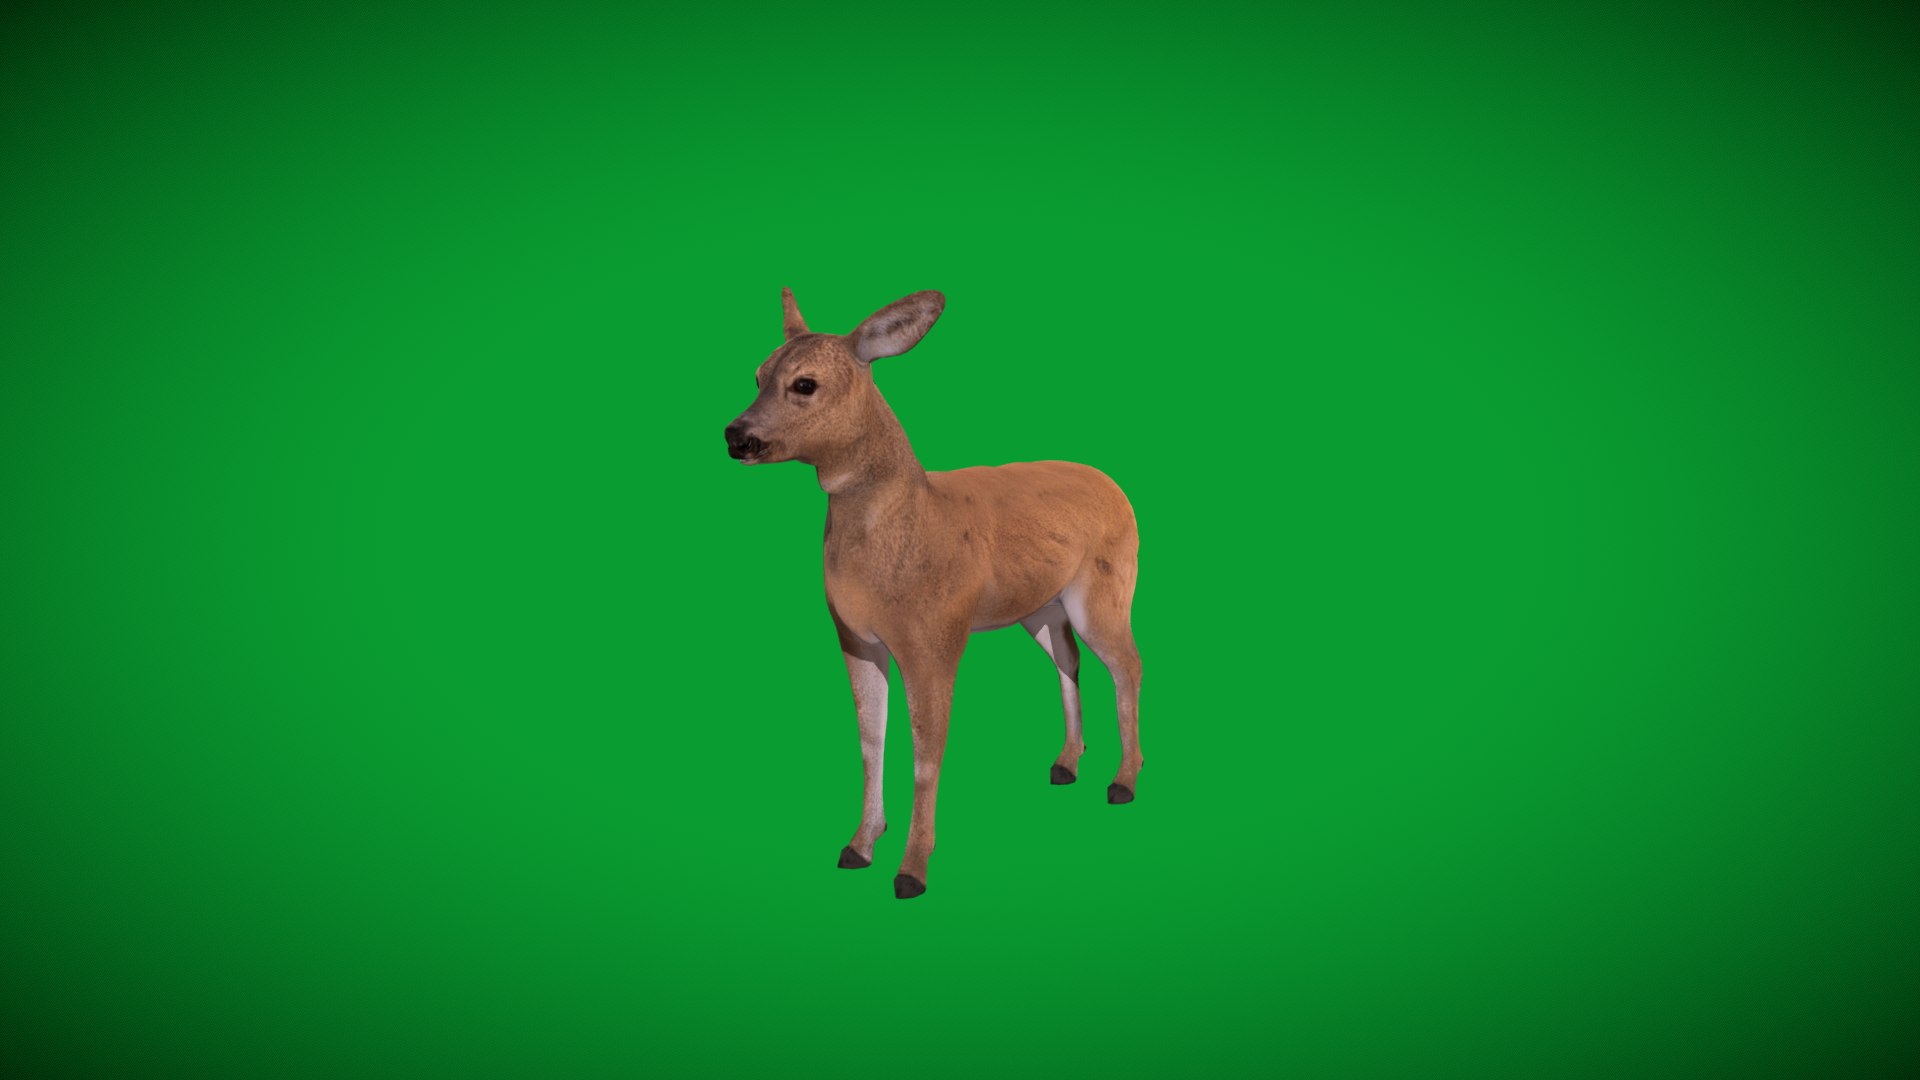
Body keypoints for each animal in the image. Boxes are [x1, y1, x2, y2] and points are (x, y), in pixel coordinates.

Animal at [723, 288, 1144, 900]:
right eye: (756, 375)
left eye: (804, 383)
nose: (736, 436)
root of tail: (1117, 488)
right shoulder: (854, 636)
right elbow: (870, 739)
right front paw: (858, 845)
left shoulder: (935, 635)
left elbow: (928, 751)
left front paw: (912, 870)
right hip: (1041, 607)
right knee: (1068, 660)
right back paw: (1066, 764)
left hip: (1108, 585)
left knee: (1127, 664)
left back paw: (1123, 781)